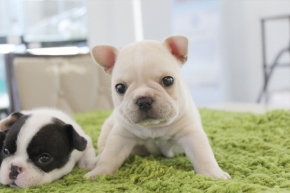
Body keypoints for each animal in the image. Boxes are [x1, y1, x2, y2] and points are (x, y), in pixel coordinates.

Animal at [86, 35, 231, 179]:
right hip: (107, 128)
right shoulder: (121, 136)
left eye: (168, 80)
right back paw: (95, 161)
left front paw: (213, 173)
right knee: (103, 149)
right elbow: (109, 157)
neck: (154, 126)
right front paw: (99, 173)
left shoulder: (190, 133)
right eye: (120, 88)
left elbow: (203, 155)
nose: (143, 100)